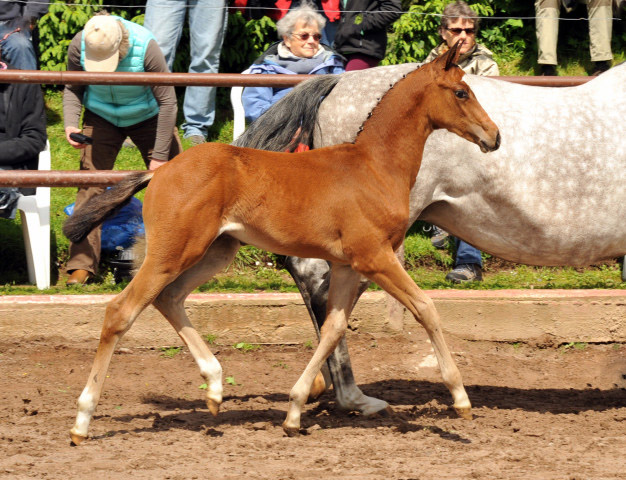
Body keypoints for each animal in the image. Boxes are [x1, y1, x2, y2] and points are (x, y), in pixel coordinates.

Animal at [64, 43, 498, 444]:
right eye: (461, 92)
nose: (494, 136)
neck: (374, 167)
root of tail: (160, 171)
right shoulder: (374, 257)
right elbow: (426, 308)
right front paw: (461, 399)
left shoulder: (346, 265)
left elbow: (333, 329)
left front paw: (294, 411)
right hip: (173, 253)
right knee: (121, 311)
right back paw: (82, 421)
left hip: (214, 253)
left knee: (168, 299)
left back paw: (215, 389)